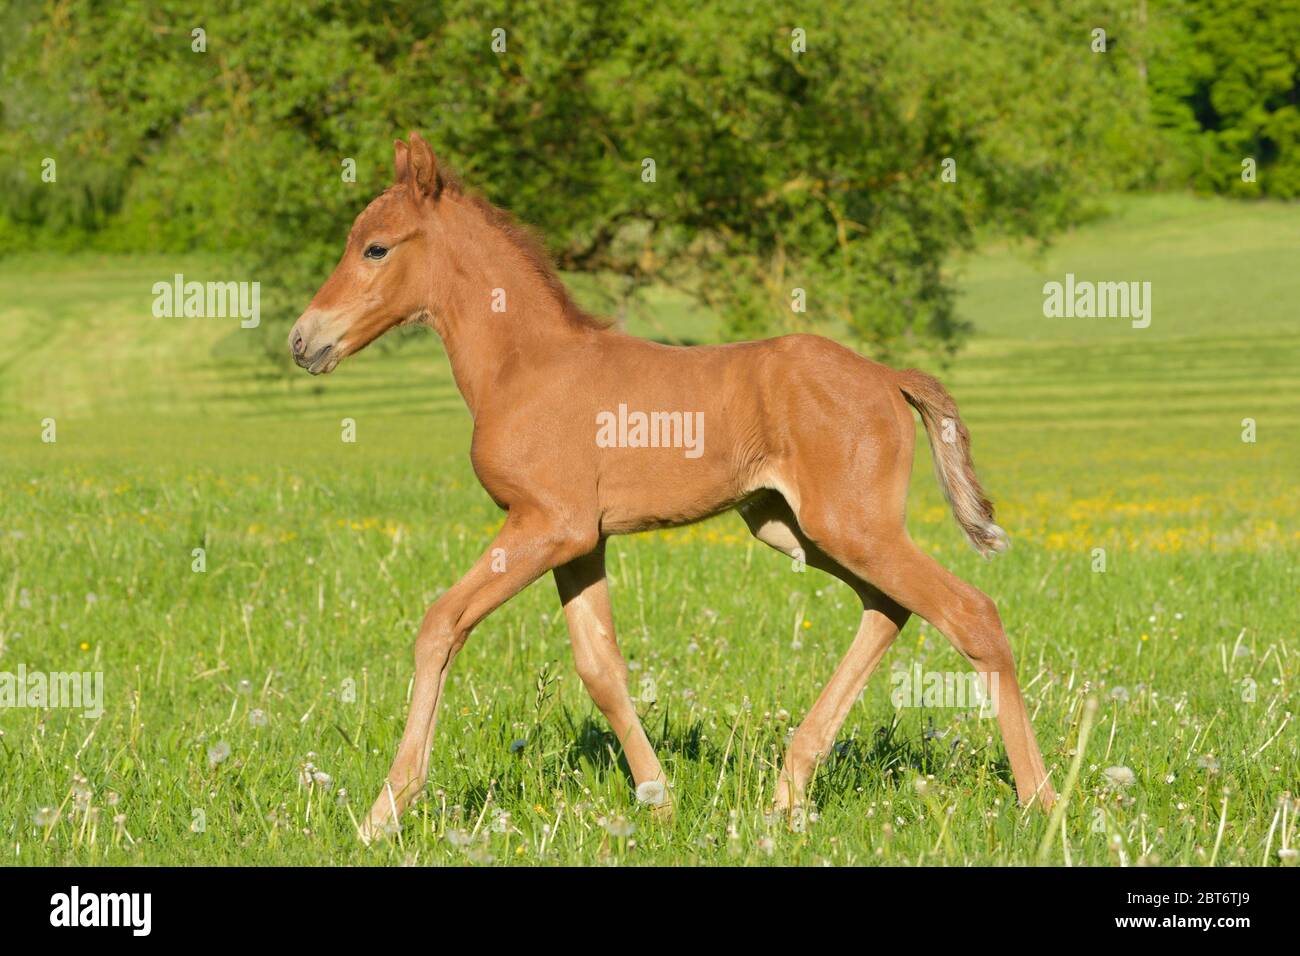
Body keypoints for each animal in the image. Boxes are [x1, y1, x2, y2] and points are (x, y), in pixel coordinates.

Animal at [288, 133, 1056, 842]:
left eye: (376, 248)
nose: (302, 340)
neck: (526, 365)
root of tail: (888, 376)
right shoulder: (579, 541)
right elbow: (601, 668)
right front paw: (659, 802)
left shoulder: (546, 525)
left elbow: (441, 624)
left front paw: (384, 812)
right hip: (791, 527)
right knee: (890, 607)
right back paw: (787, 794)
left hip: (849, 526)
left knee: (969, 612)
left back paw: (1041, 803)